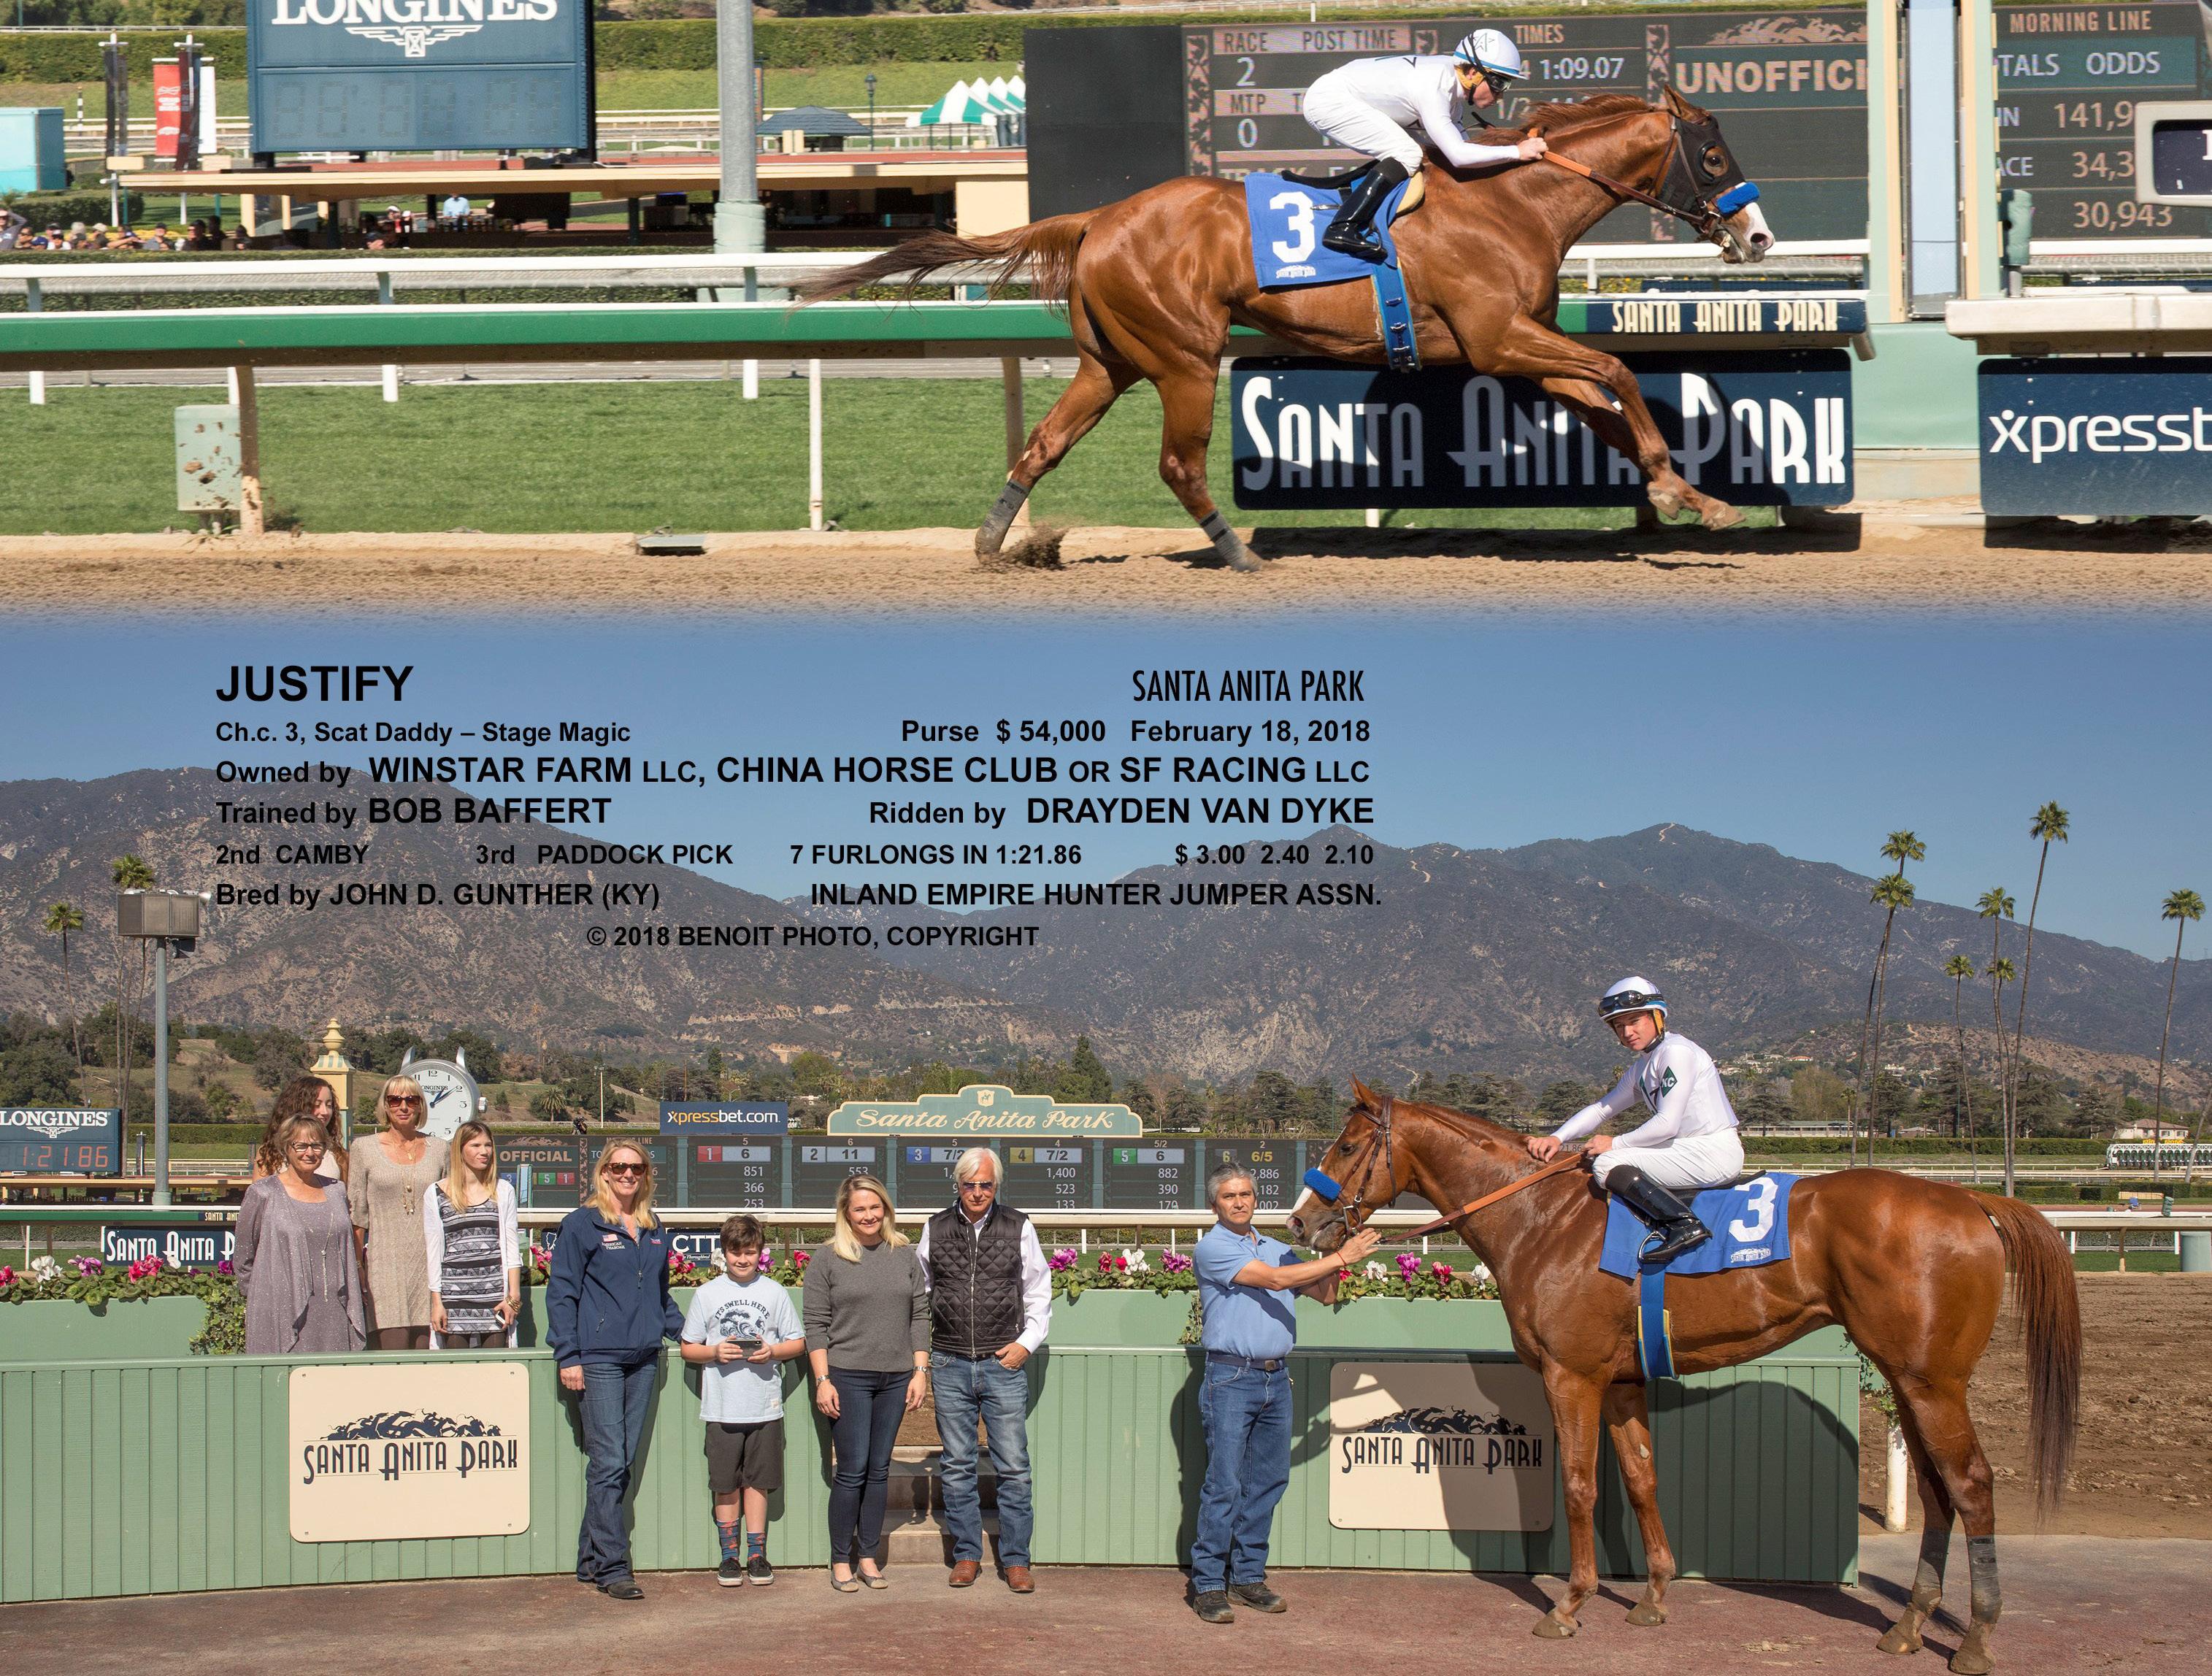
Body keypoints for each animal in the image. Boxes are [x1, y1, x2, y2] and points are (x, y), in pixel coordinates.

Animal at [802, 87, 1775, 572]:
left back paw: (996, 544)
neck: (1511, 202)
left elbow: (1604, 399)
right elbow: (1616, 371)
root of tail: (1098, 216)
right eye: (1713, 156)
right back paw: (1237, 552)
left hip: (1110, 361)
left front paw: (1688, 495)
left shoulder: (1514, 346)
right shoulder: (1496, 338)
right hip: (1185, 357)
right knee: (1178, 463)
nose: (1760, 237)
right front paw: (1681, 491)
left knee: (1045, 442)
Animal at [1285, 1084, 2081, 1675]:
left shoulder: (1571, 1376)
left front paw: (1569, 1605)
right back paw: (1910, 1625)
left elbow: (1579, 1485)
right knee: (1940, 1493)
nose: (1302, 1223)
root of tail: (1971, 1200)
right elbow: (1641, 1478)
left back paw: (1975, 1638)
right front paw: (1653, 1596)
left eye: (1347, 1146)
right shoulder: (1622, 1381)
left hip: (1932, 1380)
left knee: (1972, 1485)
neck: (1542, 1218)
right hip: (1907, 1377)